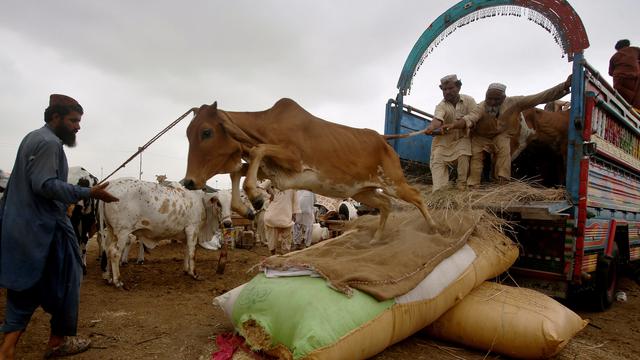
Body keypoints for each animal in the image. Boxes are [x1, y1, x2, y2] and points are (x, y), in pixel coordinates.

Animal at [182, 98, 438, 243]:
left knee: (416, 196)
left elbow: (257, 150)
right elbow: (238, 171)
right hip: (361, 191)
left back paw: (434, 228)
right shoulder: (275, 174)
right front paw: (245, 207)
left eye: (206, 132)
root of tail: (383, 140)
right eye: (188, 133)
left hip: (394, 182)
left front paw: (255, 197)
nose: (188, 182)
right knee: (385, 204)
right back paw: (376, 238)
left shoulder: (295, 161)